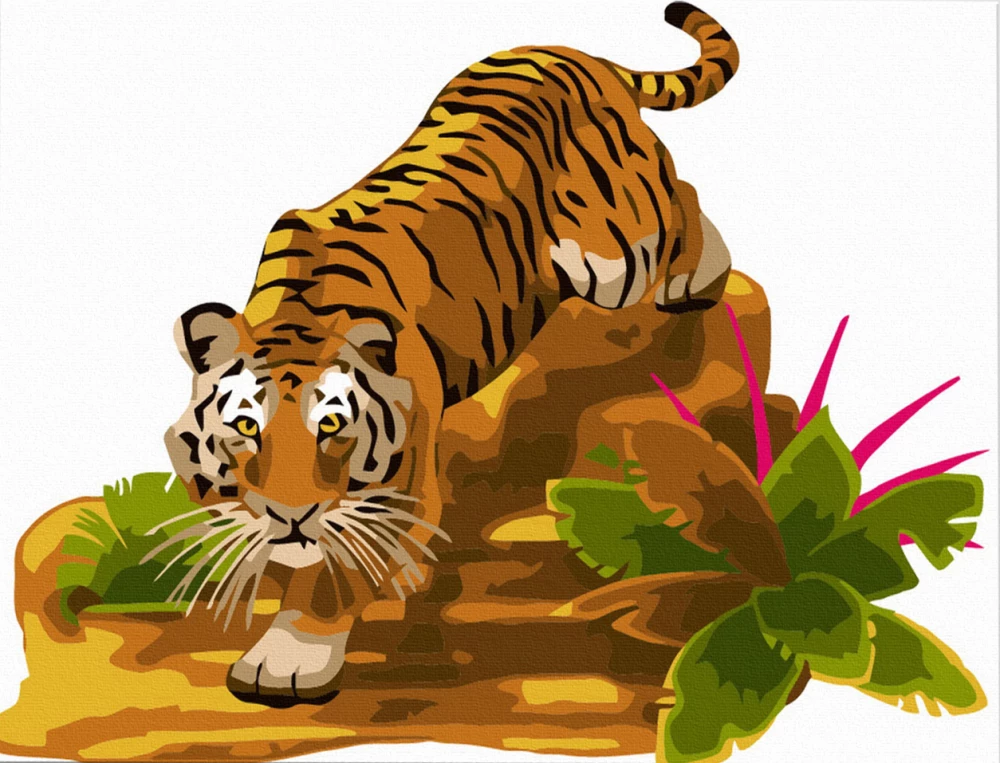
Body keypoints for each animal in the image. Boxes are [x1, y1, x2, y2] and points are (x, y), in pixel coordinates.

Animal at [161, 1, 740, 705]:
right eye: (246, 429)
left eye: (333, 426)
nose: (291, 515)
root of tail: (580, 54)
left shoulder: (398, 486)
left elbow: (333, 573)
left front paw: (288, 657)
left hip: (617, 252)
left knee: (681, 199)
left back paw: (696, 278)